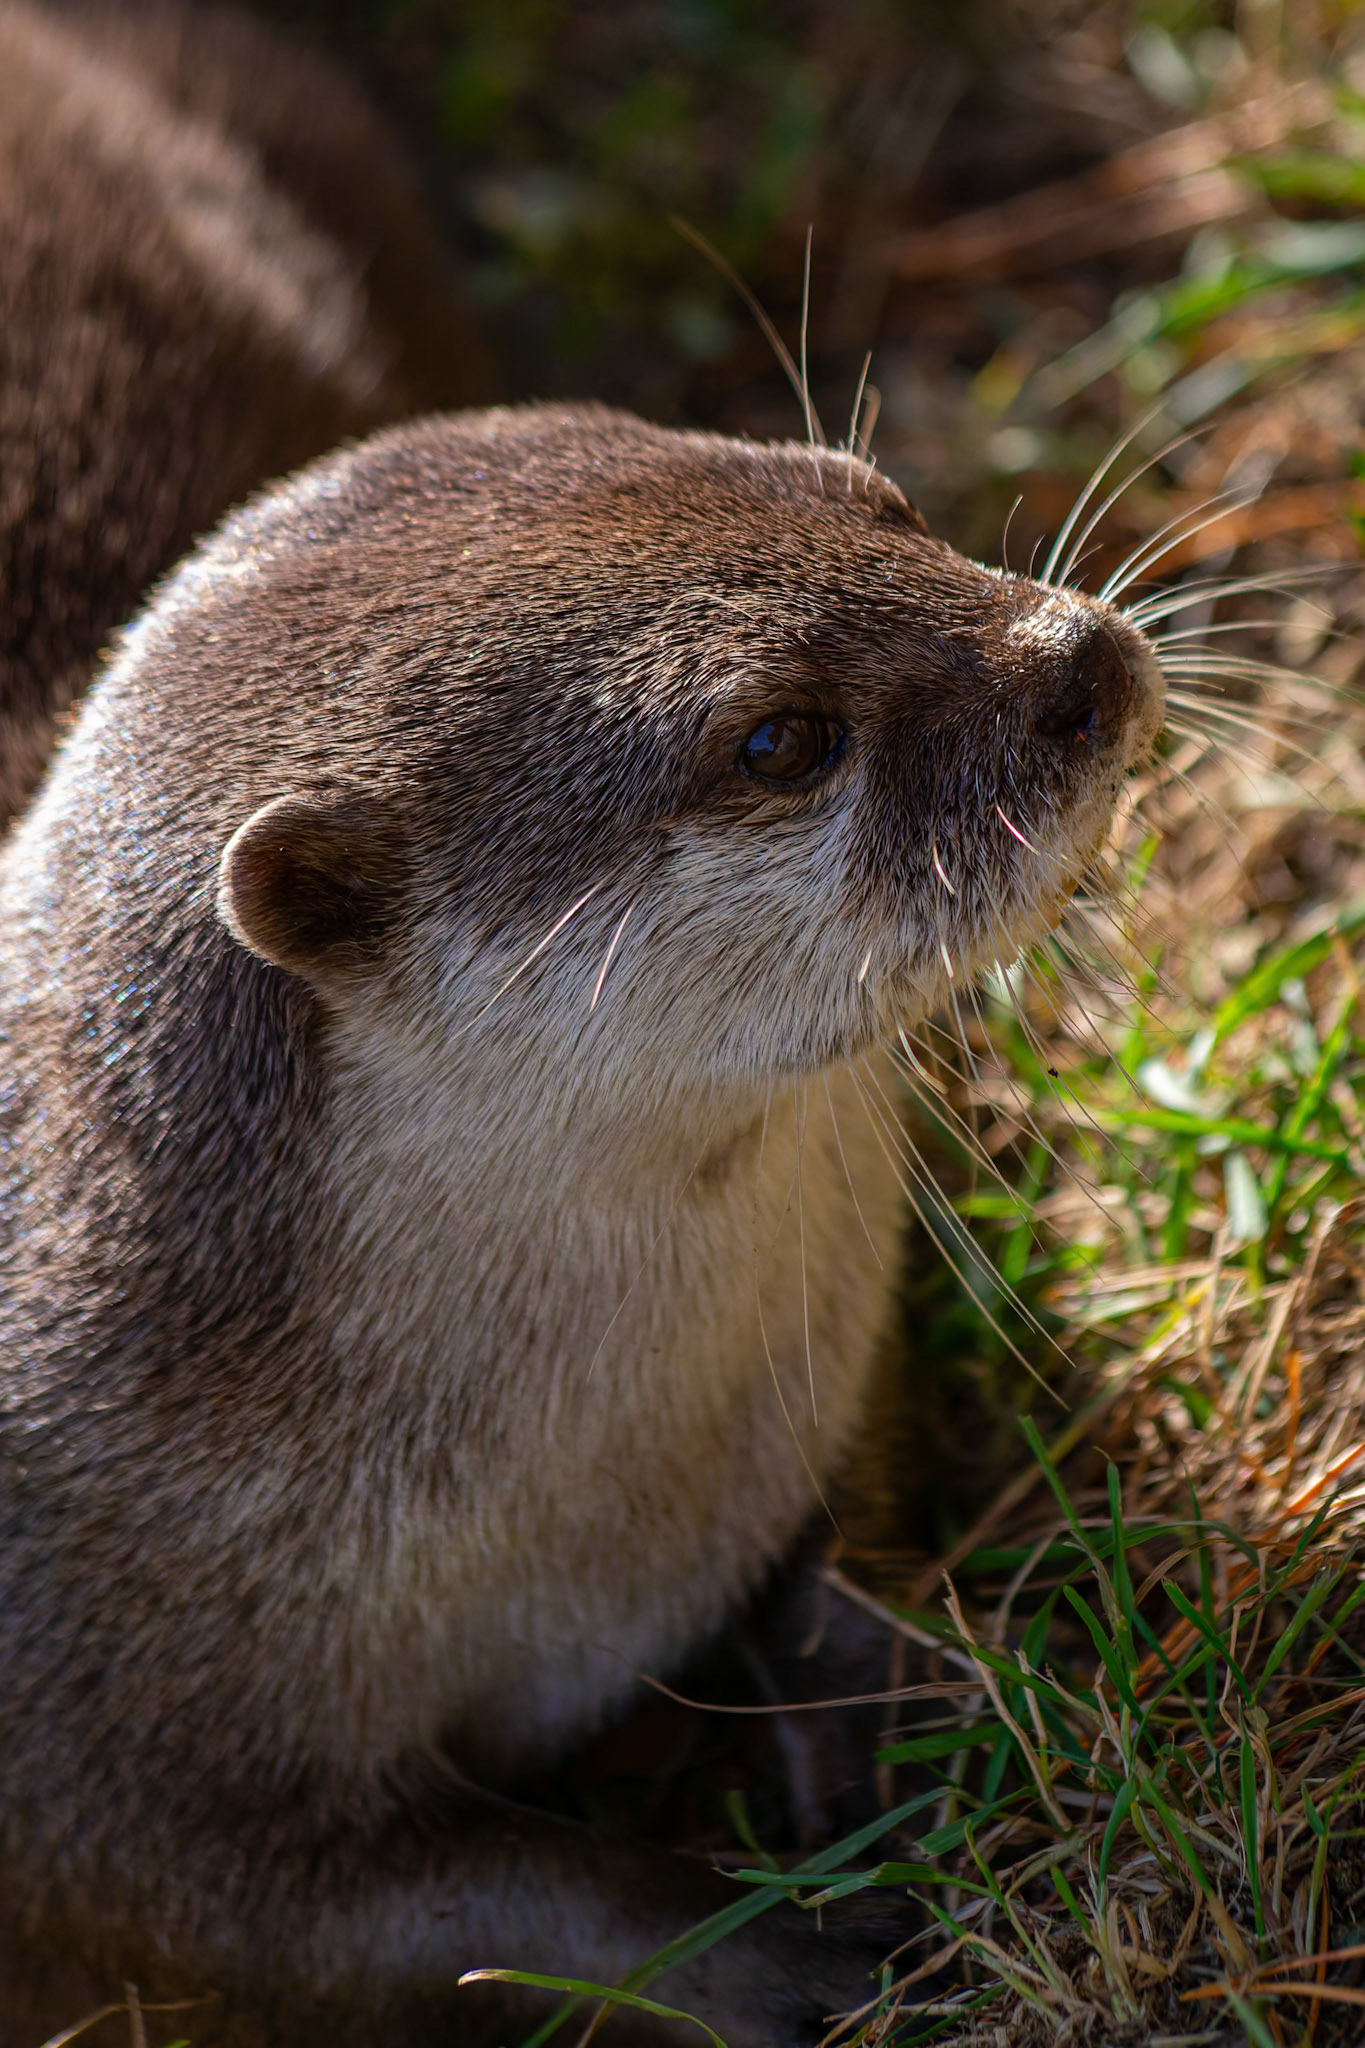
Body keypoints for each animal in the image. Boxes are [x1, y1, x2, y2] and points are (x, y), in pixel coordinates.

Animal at [0, 400, 1164, 2045]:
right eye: (777, 737)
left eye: (882, 501)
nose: (1082, 657)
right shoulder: (77, 1763)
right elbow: (367, 1910)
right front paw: (780, 1950)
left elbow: (836, 1541)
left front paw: (919, 1715)